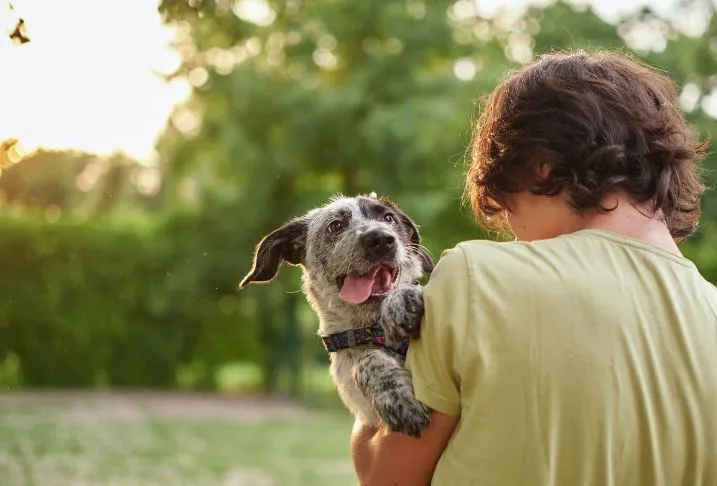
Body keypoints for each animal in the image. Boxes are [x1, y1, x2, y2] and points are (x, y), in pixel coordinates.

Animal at [241, 193, 434, 436]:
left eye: (388, 217)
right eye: (335, 225)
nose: (380, 239)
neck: (373, 330)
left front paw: (401, 301)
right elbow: (367, 359)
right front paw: (396, 395)